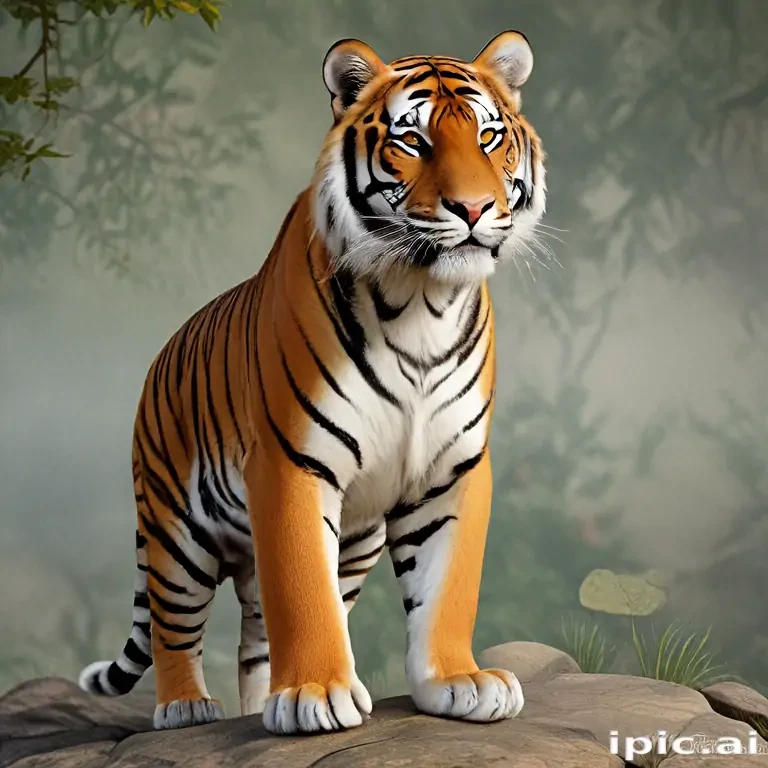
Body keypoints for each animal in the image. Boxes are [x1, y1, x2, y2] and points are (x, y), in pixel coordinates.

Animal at [78, 30, 547, 735]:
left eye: (489, 137)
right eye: (414, 141)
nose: (473, 208)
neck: (422, 302)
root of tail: (160, 354)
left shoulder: (452, 469)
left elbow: (447, 587)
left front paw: (458, 682)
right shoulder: (290, 461)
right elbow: (303, 592)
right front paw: (316, 695)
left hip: (349, 541)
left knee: (255, 636)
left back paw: (253, 704)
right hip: (175, 533)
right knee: (173, 625)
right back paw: (187, 707)